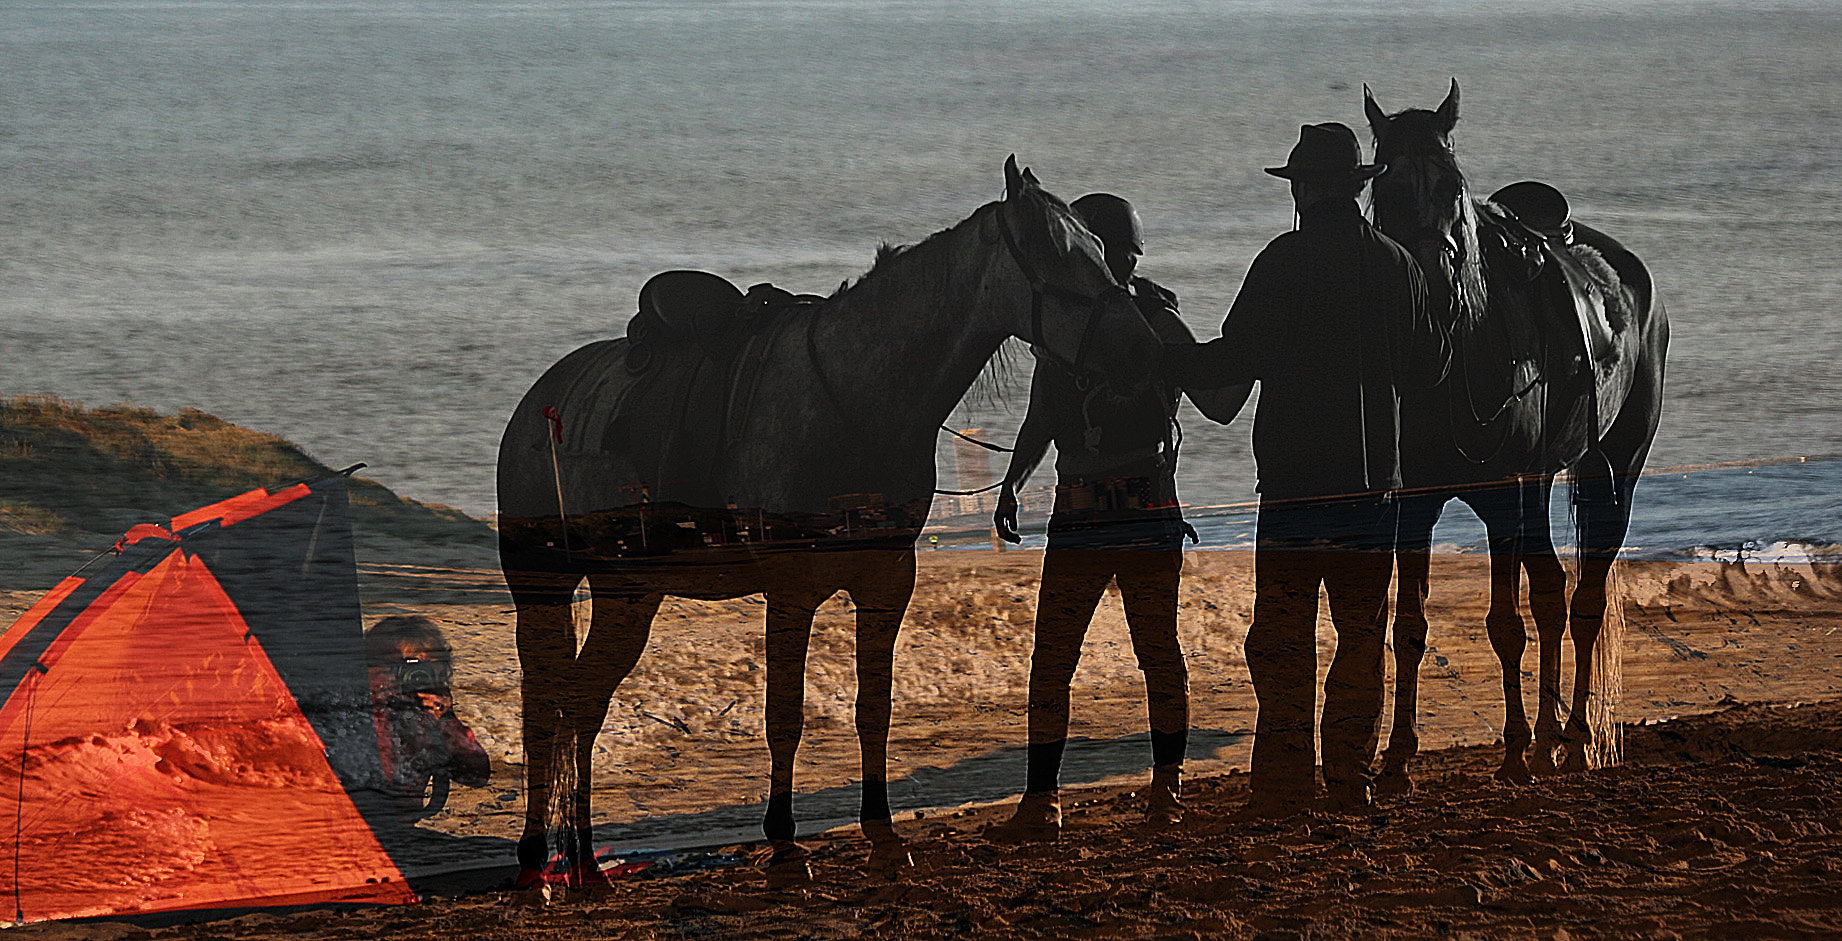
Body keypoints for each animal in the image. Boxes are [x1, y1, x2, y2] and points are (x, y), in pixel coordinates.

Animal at [497, 160, 1156, 891]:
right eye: (1059, 251)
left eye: (1099, 248)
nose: (1145, 347)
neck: (859, 393)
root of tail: (537, 402)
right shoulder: (791, 589)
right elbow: (783, 716)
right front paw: (786, 850)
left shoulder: (886, 579)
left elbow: (875, 709)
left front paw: (883, 836)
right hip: (541, 586)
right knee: (541, 709)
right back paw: (537, 864)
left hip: (627, 593)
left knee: (583, 702)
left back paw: (587, 862)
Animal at [1370, 81, 1672, 791]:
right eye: (1382, 184)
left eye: (1451, 183)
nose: (1430, 278)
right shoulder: (1416, 505)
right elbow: (1410, 625)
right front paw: (1396, 758)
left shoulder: (1506, 498)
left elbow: (1507, 623)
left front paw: (1512, 750)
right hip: (1543, 483)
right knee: (1555, 594)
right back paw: (1551, 738)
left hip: (1610, 474)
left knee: (1583, 599)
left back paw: (1571, 738)